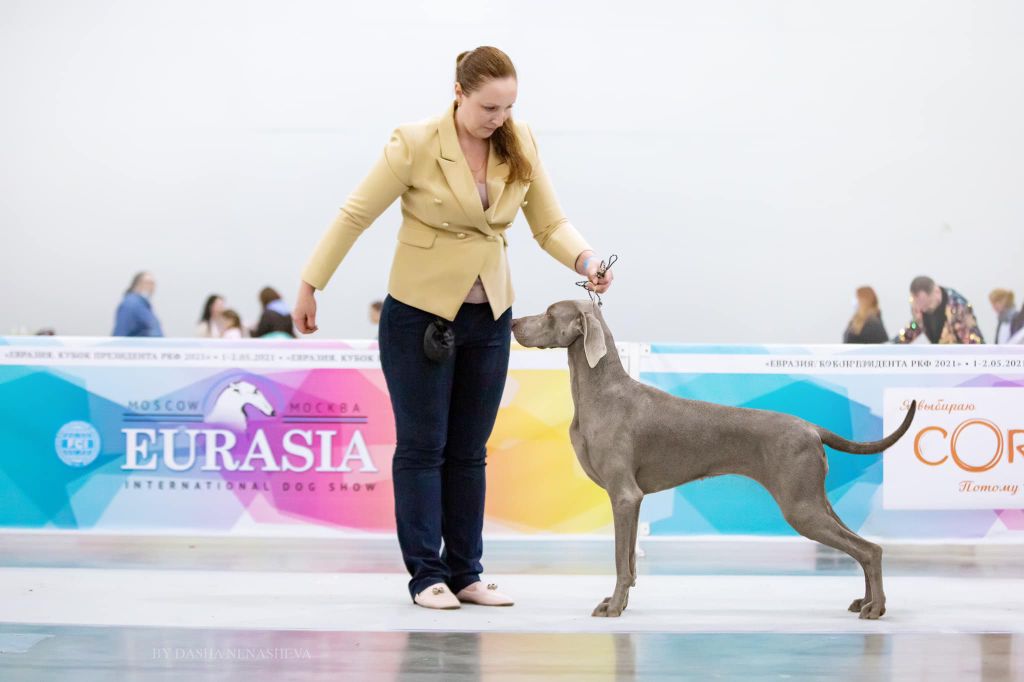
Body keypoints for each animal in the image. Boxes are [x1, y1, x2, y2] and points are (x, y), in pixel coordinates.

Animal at [512, 301, 921, 618]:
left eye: (549, 313)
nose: (513, 322)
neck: (601, 392)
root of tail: (812, 428)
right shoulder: (632, 500)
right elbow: (629, 559)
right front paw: (621, 603)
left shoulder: (624, 495)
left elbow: (619, 560)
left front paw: (614, 608)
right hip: (815, 500)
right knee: (864, 547)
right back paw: (864, 602)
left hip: (801, 507)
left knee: (870, 549)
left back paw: (876, 608)